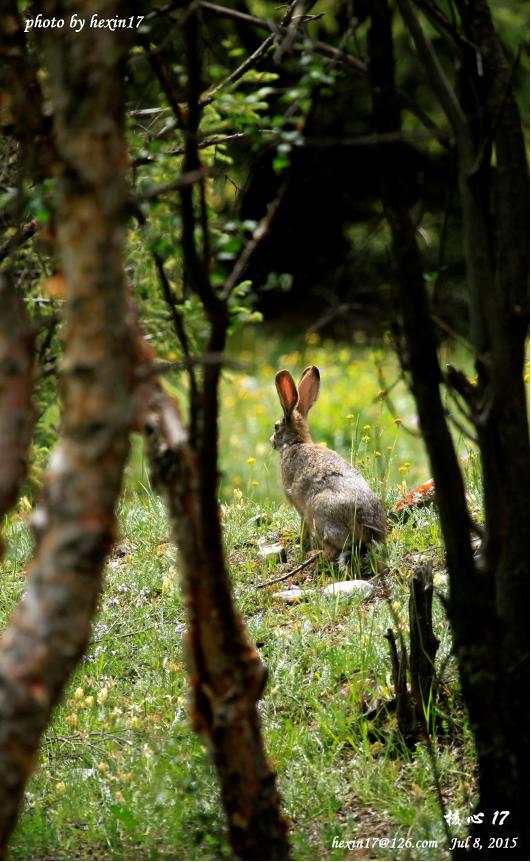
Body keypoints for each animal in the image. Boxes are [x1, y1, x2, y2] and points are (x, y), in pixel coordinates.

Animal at [274, 364, 386, 568]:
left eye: (276, 426)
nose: (271, 441)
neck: (295, 442)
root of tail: (367, 527)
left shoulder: (299, 507)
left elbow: (304, 530)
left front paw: (304, 550)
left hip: (319, 513)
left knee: (332, 550)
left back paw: (315, 556)